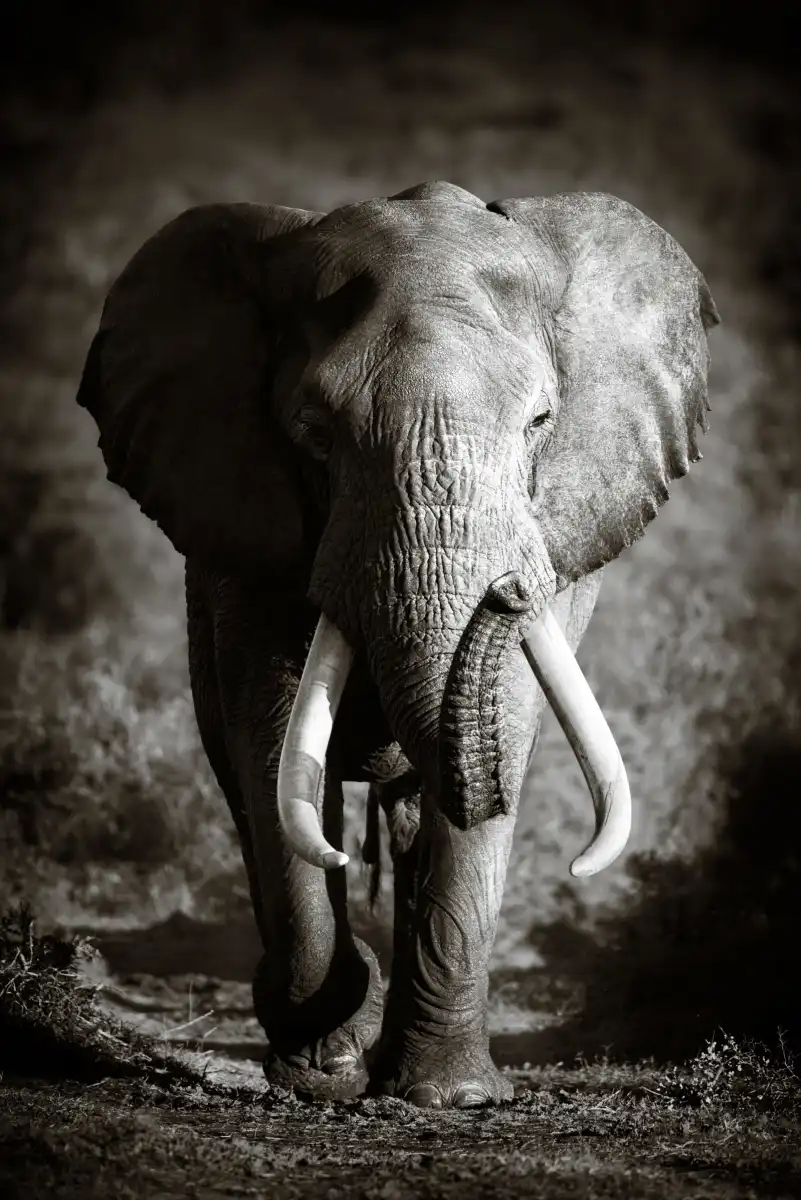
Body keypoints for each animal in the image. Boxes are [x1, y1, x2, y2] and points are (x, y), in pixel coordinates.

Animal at [76, 181, 719, 1108]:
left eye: (540, 422)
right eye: (314, 431)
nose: (507, 591)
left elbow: (504, 725)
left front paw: (450, 1097)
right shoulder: (245, 532)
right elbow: (270, 740)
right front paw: (321, 1074)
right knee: (243, 781)